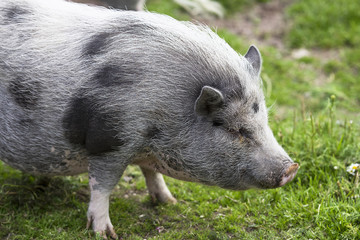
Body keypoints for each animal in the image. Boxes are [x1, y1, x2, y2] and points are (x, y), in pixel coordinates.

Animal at [0, 0, 298, 237]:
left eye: (264, 121)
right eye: (235, 129)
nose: (291, 168)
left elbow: (151, 173)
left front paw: (170, 202)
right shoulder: (109, 141)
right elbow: (102, 186)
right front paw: (105, 234)